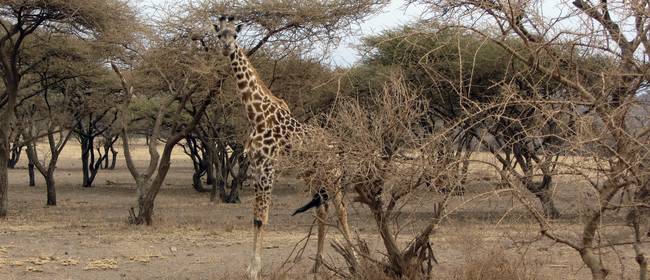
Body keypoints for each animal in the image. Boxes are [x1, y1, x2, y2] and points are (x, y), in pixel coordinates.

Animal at [213, 16, 354, 278]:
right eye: (219, 35)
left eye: (235, 35)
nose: (227, 48)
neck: (256, 115)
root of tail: (337, 145)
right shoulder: (256, 167)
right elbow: (255, 218)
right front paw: (252, 267)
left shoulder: (268, 168)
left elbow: (262, 218)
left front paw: (255, 270)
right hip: (313, 175)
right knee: (322, 211)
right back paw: (317, 265)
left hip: (332, 174)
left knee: (341, 210)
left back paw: (356, 259)